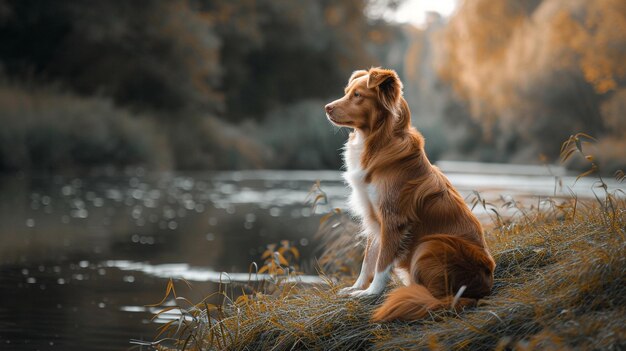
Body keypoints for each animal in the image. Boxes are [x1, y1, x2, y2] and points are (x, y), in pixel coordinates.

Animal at [324, 67, 494, 324]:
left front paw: (370, 293)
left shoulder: (393, 219)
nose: (327, 107)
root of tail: (483, 287)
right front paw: (357, 287)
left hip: (431, 244)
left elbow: (382, 262)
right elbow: (368, 259)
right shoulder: (374, 217)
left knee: (437, 296)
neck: (377, 142)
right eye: (346, 92)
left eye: (358, 95)